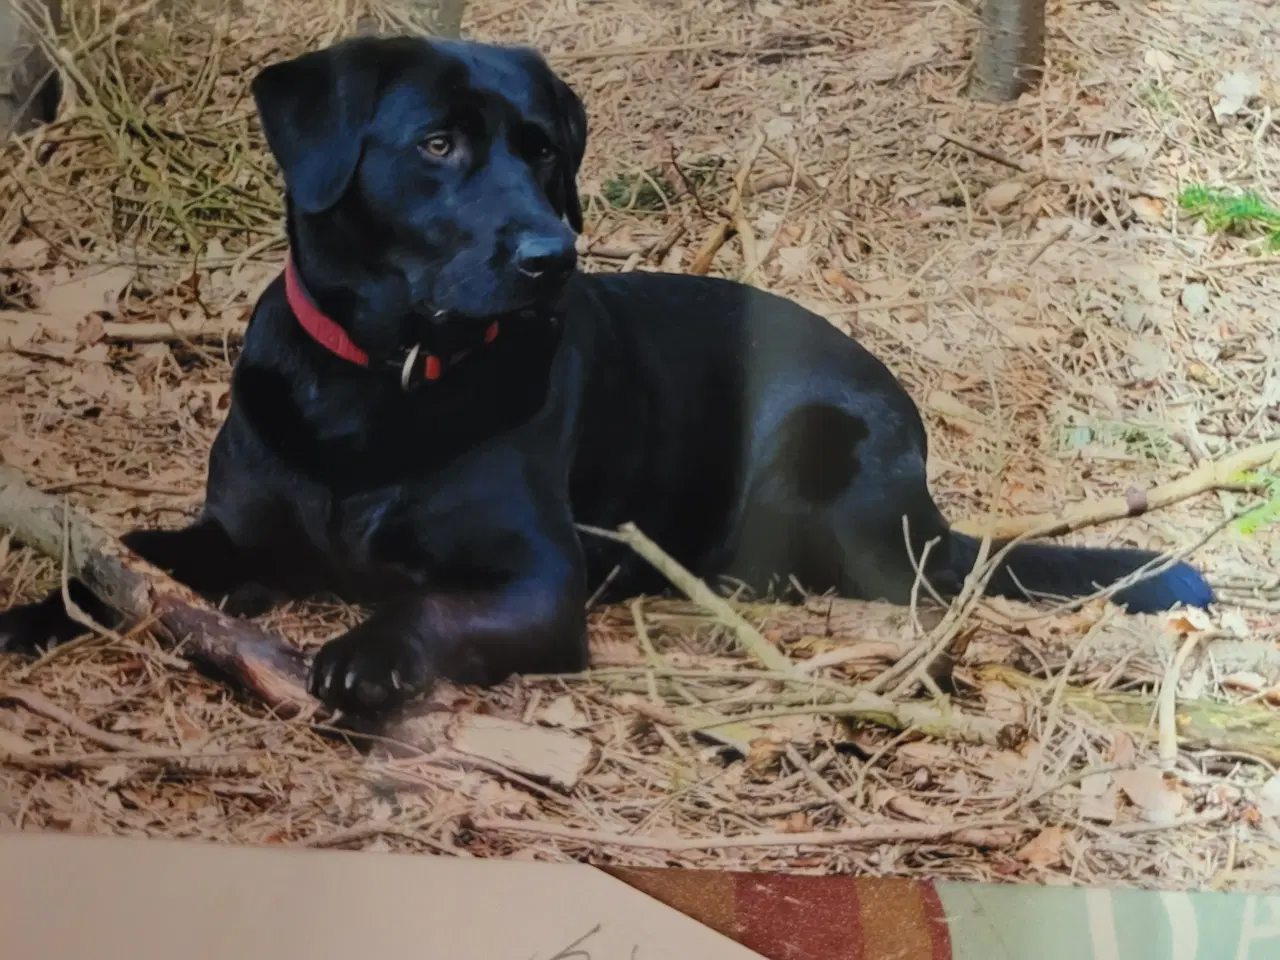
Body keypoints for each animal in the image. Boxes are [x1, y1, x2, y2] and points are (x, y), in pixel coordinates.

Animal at [0, 37, 1213, 716]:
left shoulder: (534, 577)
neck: (379, 388)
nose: (552, 256)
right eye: (436, 145)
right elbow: (116, 568)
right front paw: (24, 619)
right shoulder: (234, 538)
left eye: (545, 150)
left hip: (813, 450)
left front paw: (366, 655)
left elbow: (426, 603)